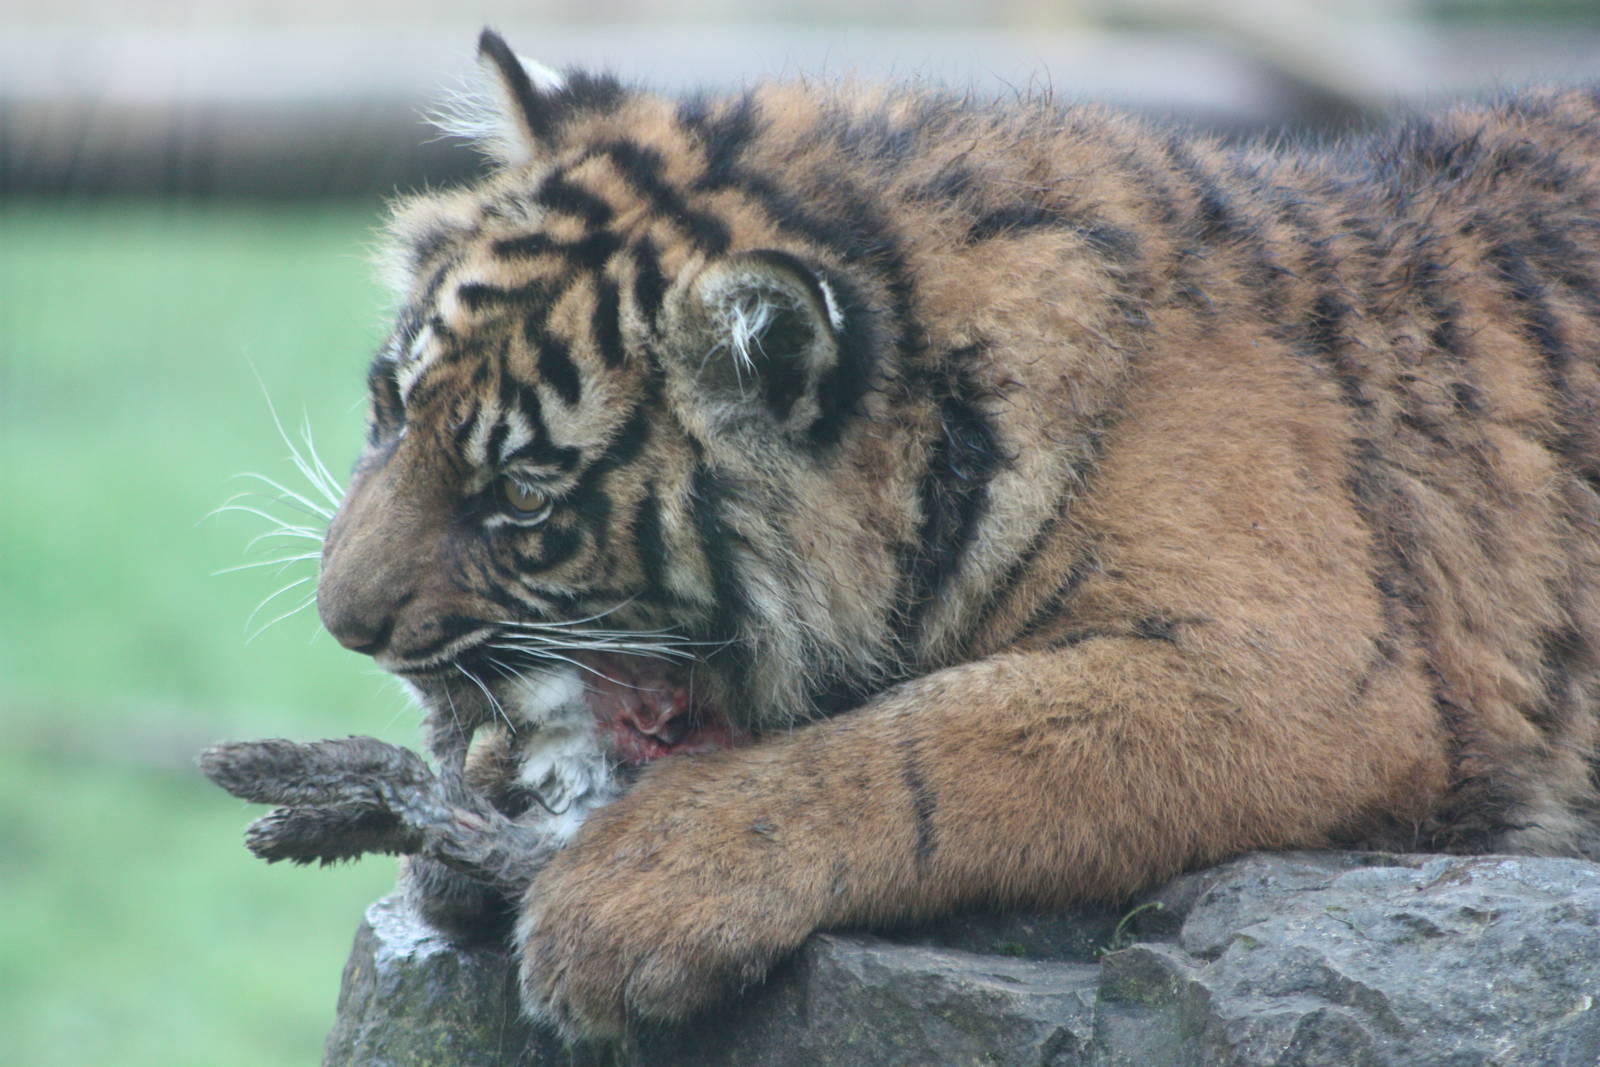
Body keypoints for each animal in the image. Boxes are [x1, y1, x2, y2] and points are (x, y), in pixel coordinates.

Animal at [295, 29, 1600, 1041]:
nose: (341, 626)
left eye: (521, 496)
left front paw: (621, 895)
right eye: (390, 406)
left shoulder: (1295, 678)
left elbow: (931, 747)